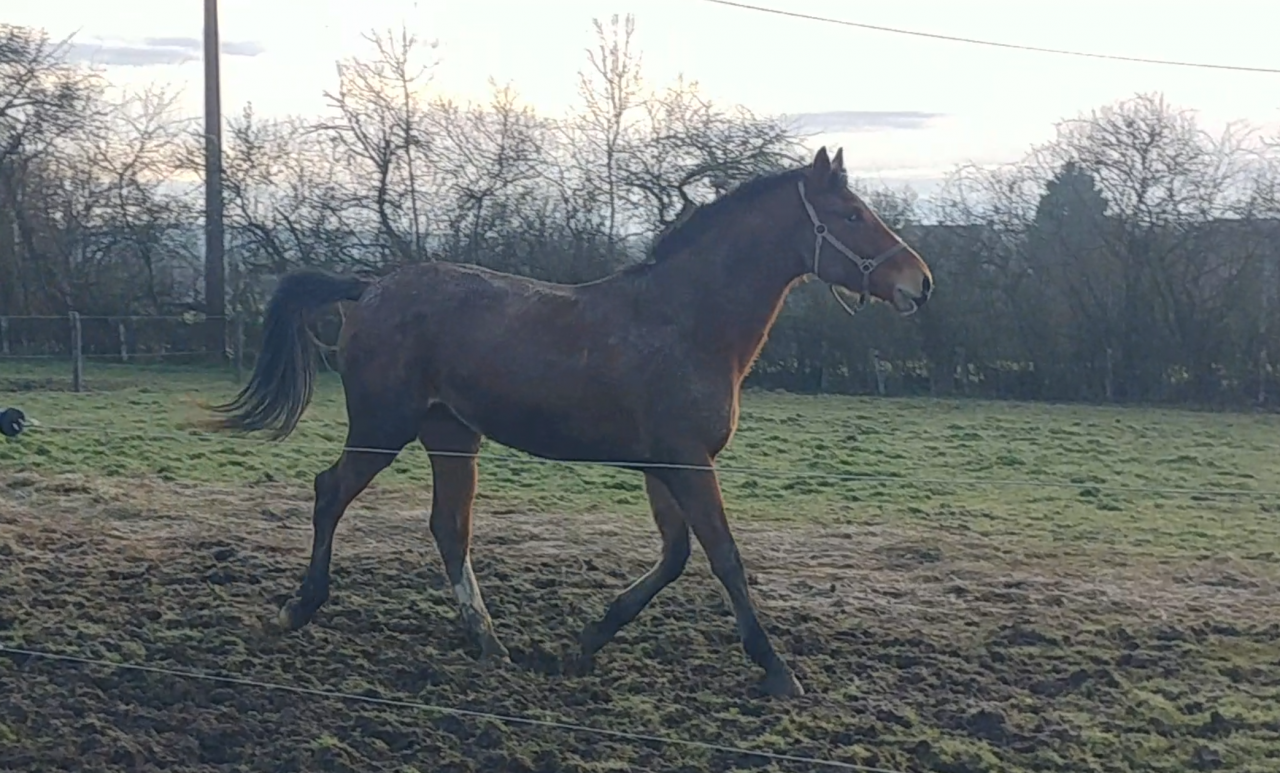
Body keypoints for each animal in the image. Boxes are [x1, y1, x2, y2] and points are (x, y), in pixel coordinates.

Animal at [206, 147, 934, 698]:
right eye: (851, 214)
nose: (920, 282)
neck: (687, 322)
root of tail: (369, 287)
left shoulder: (663, 466)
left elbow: (675, 557)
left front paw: (585, 642)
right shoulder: (688, 462)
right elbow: (724, 557)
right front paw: (778, 670)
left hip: (451, 435)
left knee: (449, 527)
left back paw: (490, 642)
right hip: (384, 426)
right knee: (331, 491)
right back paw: (299, 607)